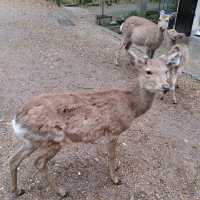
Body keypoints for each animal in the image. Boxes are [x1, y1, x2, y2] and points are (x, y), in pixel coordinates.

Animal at [8, 50, 170, 198]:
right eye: (148, 71)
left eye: (166, 71)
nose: (166, 87)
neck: (131, 105)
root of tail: (16, 119)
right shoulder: (114, 130)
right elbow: (111, 155)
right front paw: (115, 179)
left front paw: (116, 169)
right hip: (54, 137)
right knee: (39, 162)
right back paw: (61, 191)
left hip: (33, 140)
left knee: (13, 159)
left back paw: (17, 190)